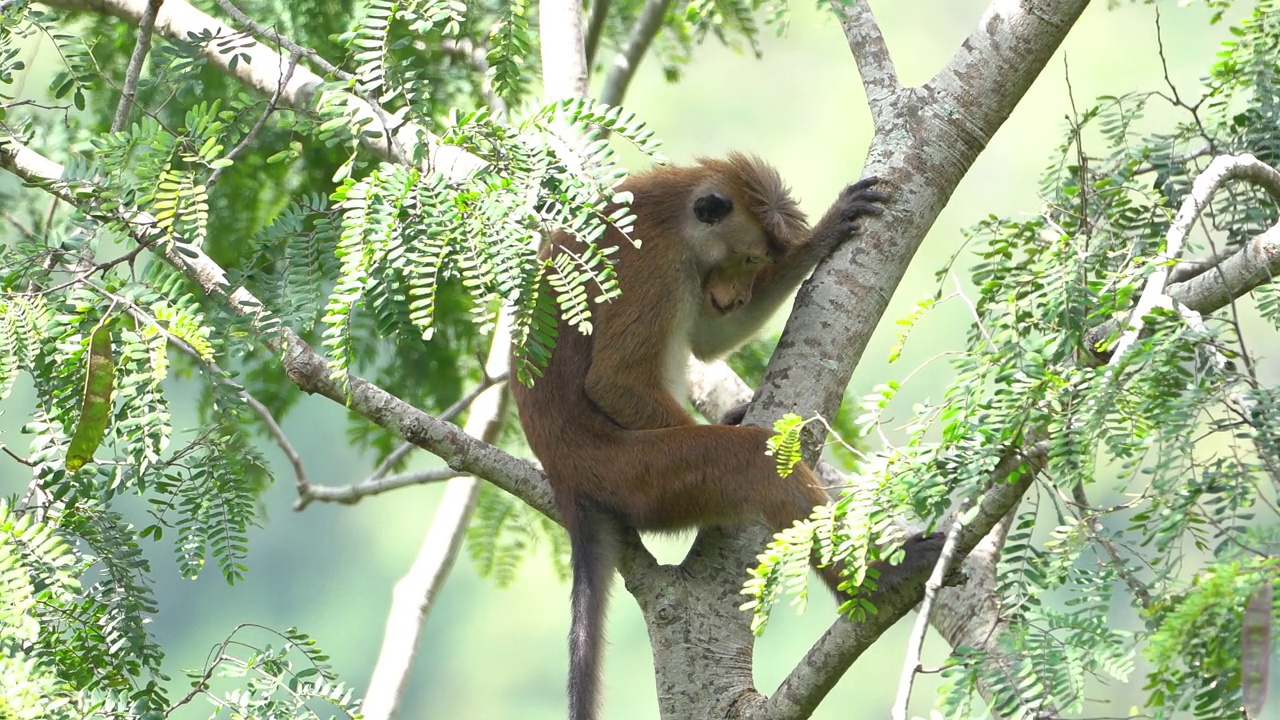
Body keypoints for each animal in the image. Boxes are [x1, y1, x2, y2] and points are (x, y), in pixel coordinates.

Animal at [506, 155, 942, 717]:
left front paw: (817, 241)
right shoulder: (652, 265)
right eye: (748, 255)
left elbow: (708, 341)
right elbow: (615, 381)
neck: (670, 216)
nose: (733, 296)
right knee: (750, 461)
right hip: (641, 479)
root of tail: (567, 480)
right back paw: (876, 581)